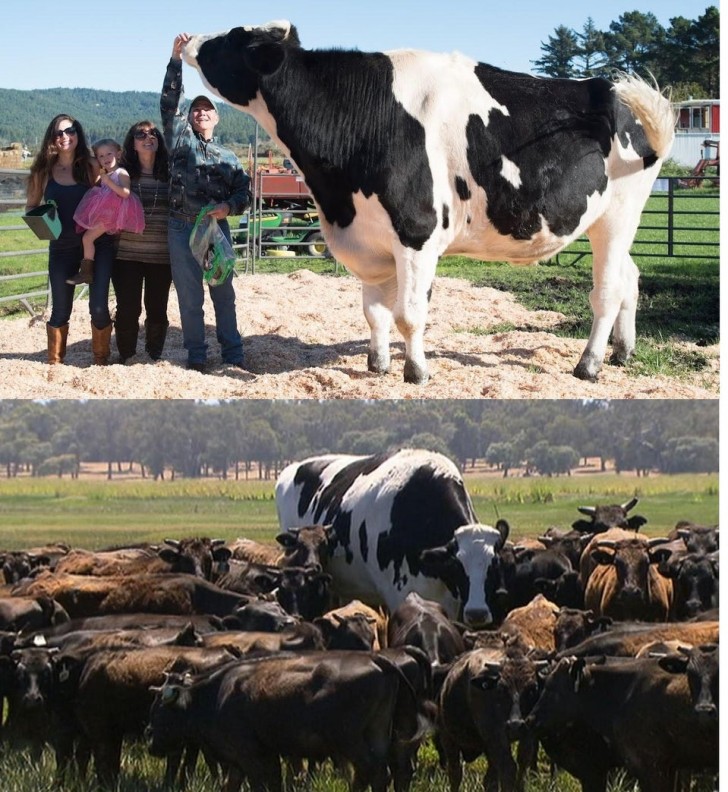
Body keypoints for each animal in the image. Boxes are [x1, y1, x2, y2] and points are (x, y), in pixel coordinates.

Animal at [182, 20, 676, 386]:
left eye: (232, 38)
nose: (187, 39)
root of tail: (611, 90)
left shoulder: (416, 234)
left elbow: (409, 313)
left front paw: (415, 371)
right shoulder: (371, 237)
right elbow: (375, 311)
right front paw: (377, 365)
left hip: (616, 218)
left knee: (607, 291)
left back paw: (589, 365)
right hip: (612, 224)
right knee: (631, 278)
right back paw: (623, 352)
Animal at [276, 448, 510, 628]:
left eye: (495, 564)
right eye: (456, 564)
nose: (477, 613)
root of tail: (294, 466)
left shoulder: (450, 602)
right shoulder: (398, 596)